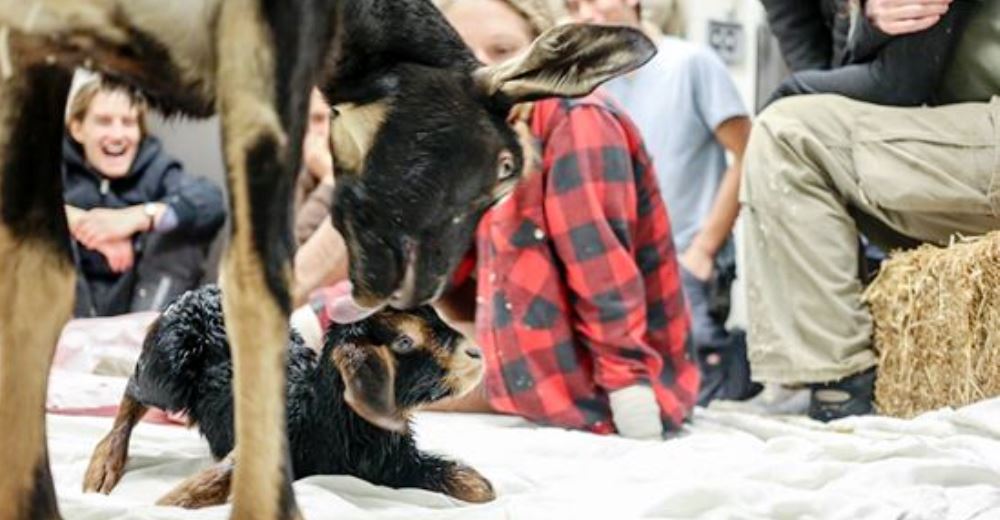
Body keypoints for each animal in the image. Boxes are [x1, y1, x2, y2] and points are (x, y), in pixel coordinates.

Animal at [0, 2, 656, 516]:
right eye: (505, 166)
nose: (415, 288)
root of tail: (191, 302)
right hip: (165, 369)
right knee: (137, 388)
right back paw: (103, 465)